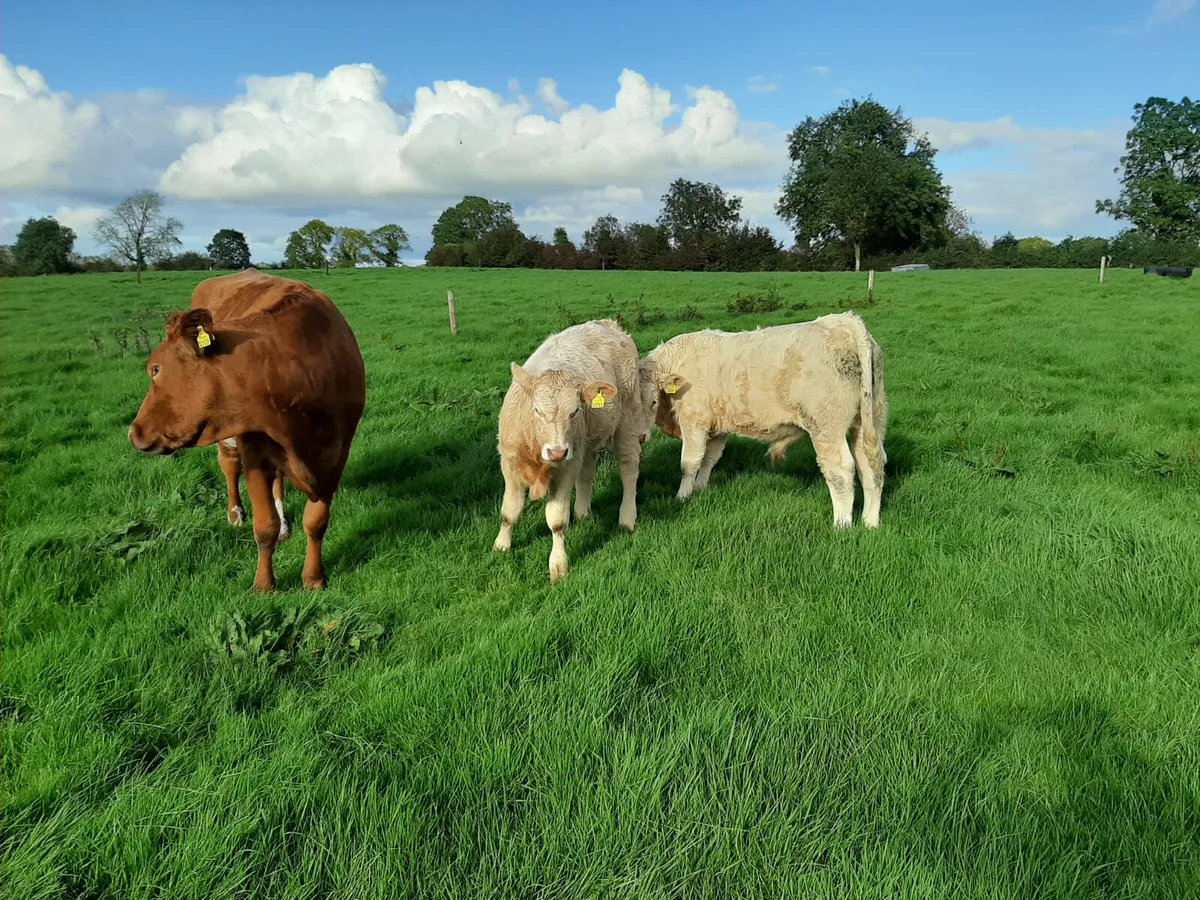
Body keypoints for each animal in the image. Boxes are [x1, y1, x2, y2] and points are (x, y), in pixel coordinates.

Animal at [129, 270, 364, 592]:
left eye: (155, 369)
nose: (134, 432)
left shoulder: (337, 453)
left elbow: (316, 522)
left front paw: (314, 579)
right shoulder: (255, 451)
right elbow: (264, 526)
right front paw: (264, 586)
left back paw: (285, 526)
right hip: (230, 444)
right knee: (229, 466)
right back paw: (235, 513)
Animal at [492, 321, 652, 580]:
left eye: (575, 411)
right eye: (536, 410)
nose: (557, 452)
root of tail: (607, 324)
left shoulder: (566, 467)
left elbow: (557, 520)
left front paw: (558, 566)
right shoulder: (509, 463)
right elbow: (510, 511)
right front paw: (501, 545)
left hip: (628, 420)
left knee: (629, 470)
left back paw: (627, 518)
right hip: (587, 441)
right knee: (587, 472)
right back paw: (582, 513)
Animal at [643, 312, 888, 528]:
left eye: (653, 401)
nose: (642, 436)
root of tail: (844, 321)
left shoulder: (693, 422)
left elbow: (689, 463)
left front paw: (682, 497)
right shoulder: (717, 427)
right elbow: (709, 460)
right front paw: (700, 489)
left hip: (827, 428)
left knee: (840, 471)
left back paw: (841, 525)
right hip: (868, 421)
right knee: (870, 466)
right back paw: (870, 522)